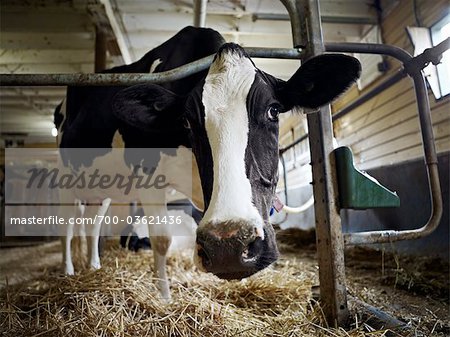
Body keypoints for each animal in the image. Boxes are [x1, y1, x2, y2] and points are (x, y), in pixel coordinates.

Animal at [56, 26, 360, 298]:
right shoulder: (147, 173)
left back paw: (94, 266)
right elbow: (162, 239)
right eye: (187, 121)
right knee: (68, 227)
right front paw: (164, 298)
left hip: (101, 189)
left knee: (93, 224)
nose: (230, 248)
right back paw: (69, 270)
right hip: (67, 180)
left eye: (273, 110)